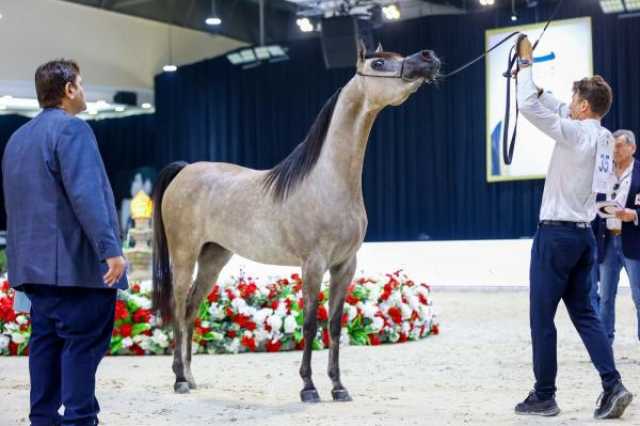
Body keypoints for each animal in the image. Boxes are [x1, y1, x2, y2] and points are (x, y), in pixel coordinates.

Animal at [153, 41, 440, 404]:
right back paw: (178, 378)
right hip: (184, 256)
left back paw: (191, 378)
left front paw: (338, 387)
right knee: (178, 309)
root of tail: (185, 169)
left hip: (213, 258)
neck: (329, 180)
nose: (428, 58)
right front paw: (309, 387)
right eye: (378, 63)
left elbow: (334, 325)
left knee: (191, 310)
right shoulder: (313, 265)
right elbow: (310, 324)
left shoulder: (345, 265)